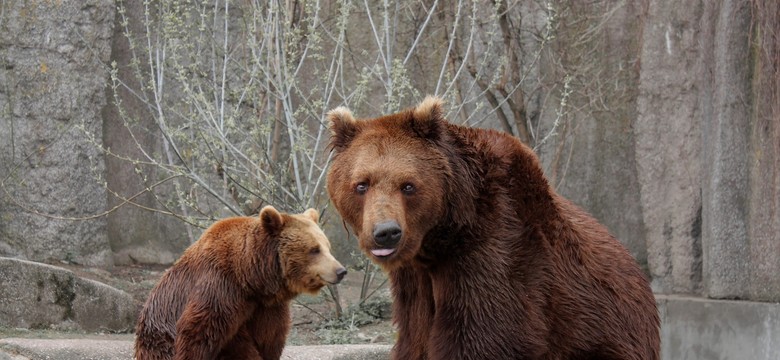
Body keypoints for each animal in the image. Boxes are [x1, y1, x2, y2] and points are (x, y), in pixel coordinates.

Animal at [134, 205, 348, 360]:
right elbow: (197, 334)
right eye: (314, 249)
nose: (340, 271)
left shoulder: (267, 308)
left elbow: (270, 339)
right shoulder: (220, 288)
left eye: (327, 246)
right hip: (158, 340)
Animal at [326, 97, 660, 358]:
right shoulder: (415, 284)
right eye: (361, 184)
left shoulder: (496, 252)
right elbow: (415, 338)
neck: (441, 238)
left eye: (408, 185)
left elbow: (481, 337)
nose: (386, 232)